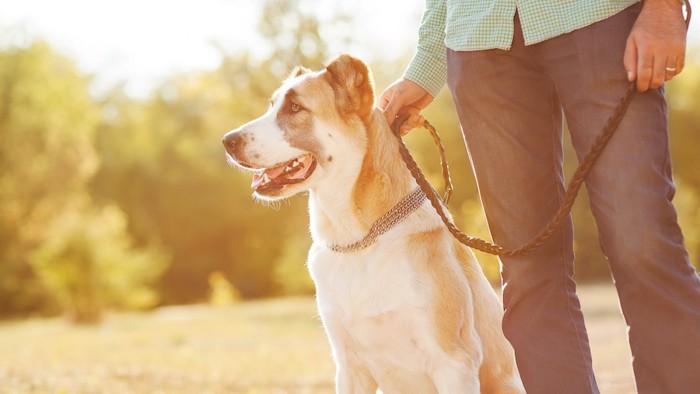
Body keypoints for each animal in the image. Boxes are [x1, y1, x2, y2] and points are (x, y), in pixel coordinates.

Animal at [221, 53, 524, 392]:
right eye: (272, 105)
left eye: (296, 107)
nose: (227, 141)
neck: (358, 240)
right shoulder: (349, 367)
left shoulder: (454, 362)